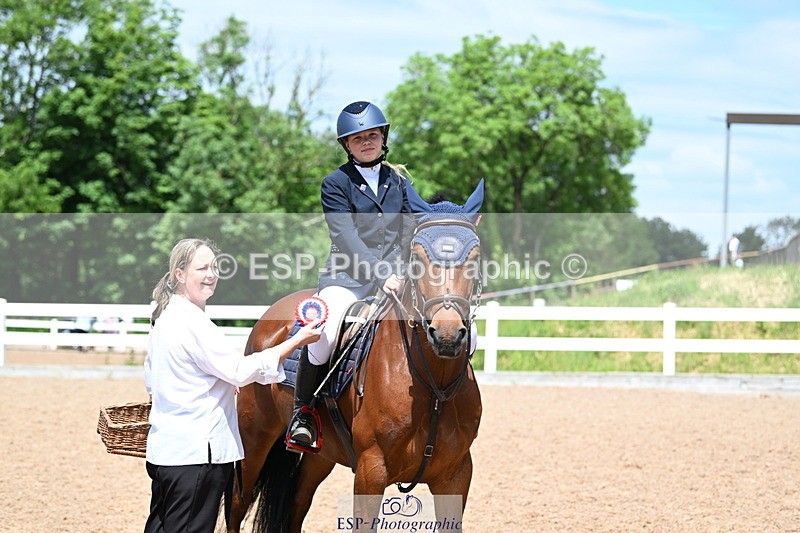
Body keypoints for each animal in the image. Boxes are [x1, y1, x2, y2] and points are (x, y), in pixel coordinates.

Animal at [227, 181, 485, 533]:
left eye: (475, 258)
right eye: (416, 259)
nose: (446, 335)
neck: (434, 386)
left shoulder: (456, 474)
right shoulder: (370, 470)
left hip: (319, 456)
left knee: (296, 506)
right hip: (254, 437)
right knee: (237, 504)